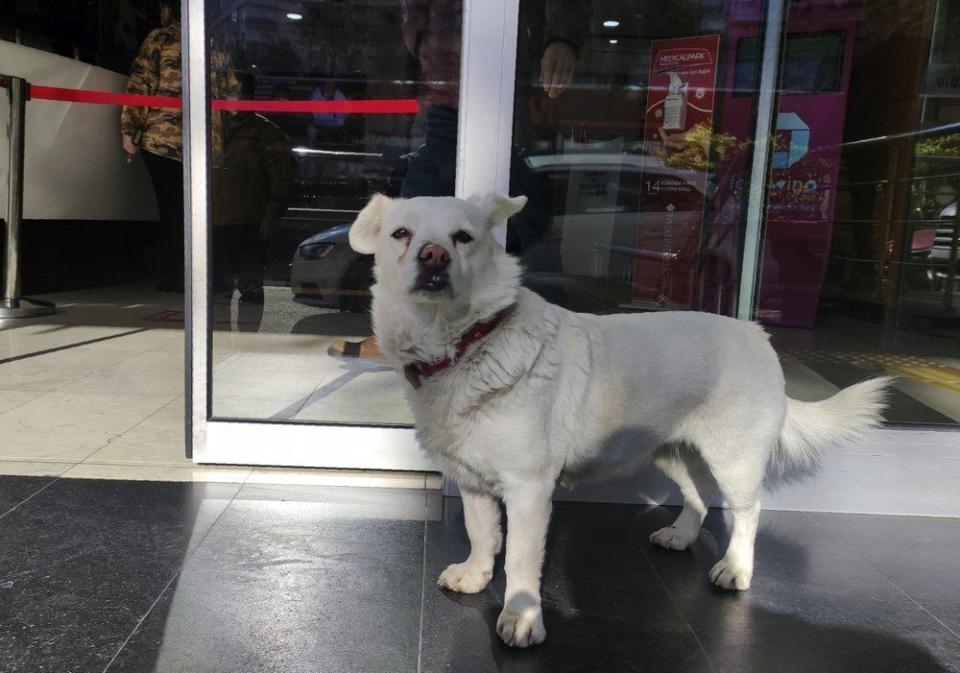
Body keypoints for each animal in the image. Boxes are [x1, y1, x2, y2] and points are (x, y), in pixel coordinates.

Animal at [346, 193, 892, 644]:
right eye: (401, 234)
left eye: (463, 237)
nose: (433, 256)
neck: (463, 344)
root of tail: (757, 334)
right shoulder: (474, 480)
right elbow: (482, 534)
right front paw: (476, 575)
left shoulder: (528, 488)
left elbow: (520, 559)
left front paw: (521, 619)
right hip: (670, 451)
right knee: (698, 497)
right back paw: (680, 536)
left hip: (733, 458)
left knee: (746, 511)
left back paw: (735, 569)